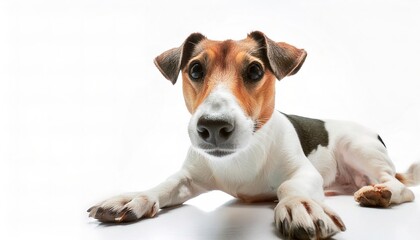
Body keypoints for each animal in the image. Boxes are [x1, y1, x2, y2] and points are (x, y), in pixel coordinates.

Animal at [86, 31, 420, 238]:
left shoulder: (304, 172)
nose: (213, 126)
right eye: (195, 70)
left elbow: (290, 186)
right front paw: (135, 197)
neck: (243, 155)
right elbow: (166, 184)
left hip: (358, 146)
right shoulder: (189, 176)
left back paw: (380, 193)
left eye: (255, 71)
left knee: (400, 186)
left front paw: (300, 204)